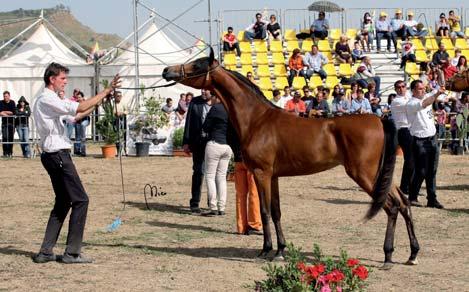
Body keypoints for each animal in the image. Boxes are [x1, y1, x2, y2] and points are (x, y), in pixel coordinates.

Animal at [163, 49, 418, 268]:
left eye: (197, 65)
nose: (167, 70)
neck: (257, 119)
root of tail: (380, 120)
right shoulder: (273, 176)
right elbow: (276, 212)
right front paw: (281, 251)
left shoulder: (261, 174)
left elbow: (265, 211)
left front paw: (266, 250)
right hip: (378, 175)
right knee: (403, 202)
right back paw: (412, 254)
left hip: (365, 174)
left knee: (391, 207)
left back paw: (388, 256)